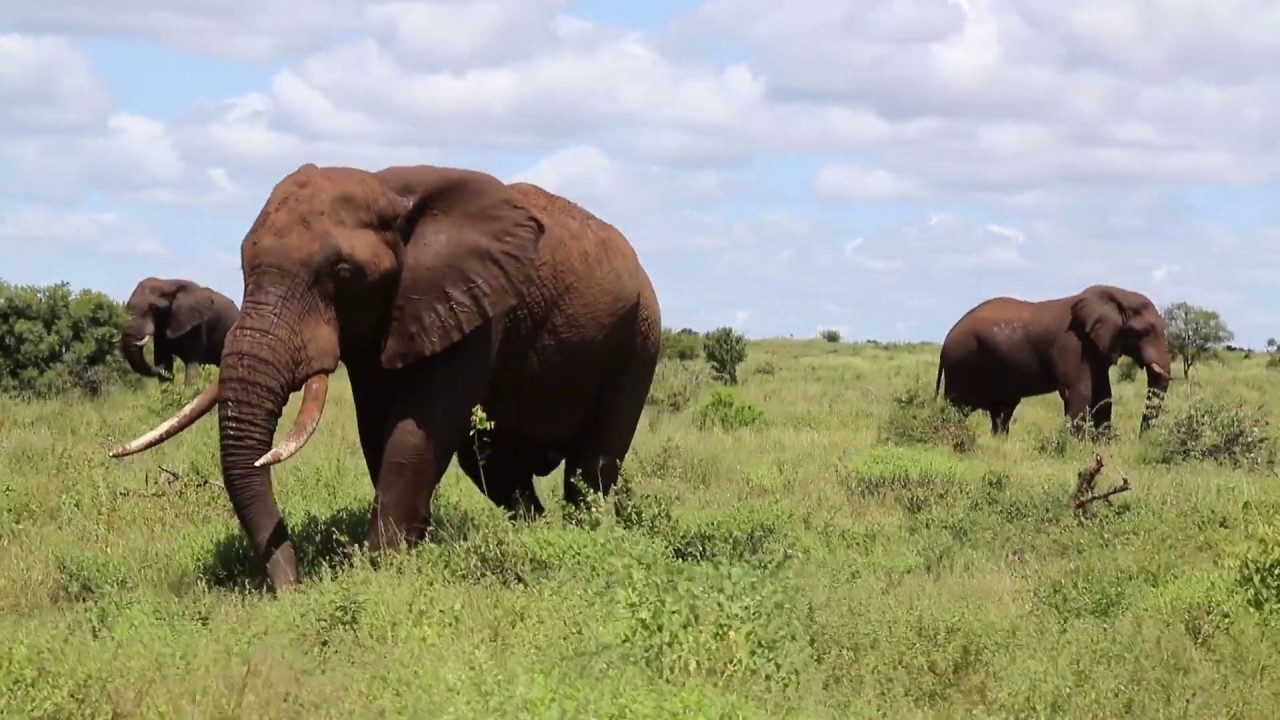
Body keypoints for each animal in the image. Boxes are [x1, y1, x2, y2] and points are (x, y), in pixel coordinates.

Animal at [108, 163, 662, 590]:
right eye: (244, 267)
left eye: (342, 275)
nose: (291, 586)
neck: (388, 186)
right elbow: (378, 428)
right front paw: (411, 550)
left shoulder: (473, 305)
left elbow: (418, 429)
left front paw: (380, 566)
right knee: (495, 465)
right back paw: (533, 533)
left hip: (637, 339)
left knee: (591, 467)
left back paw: (576, 535)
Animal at [934, 284, 1173, 437]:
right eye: (1146, 331)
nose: (1141, 442)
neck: (1118, 295)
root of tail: (945, 341)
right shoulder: (1072, 344)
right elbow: (1079, 392)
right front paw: (1076, 448)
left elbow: (1103, 395)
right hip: (961, 364)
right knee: (957, 408)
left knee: (1001, 410)